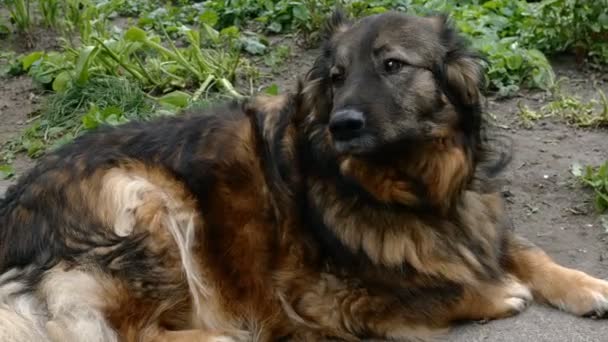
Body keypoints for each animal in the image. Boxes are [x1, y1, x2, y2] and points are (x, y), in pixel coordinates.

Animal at [1, 10, 608, 342]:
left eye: (392, 65)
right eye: (336, 77)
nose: (342, 124)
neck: (410, 188)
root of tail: (13, 209)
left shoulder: (475, 222)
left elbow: (529, 254)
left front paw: (587, 285)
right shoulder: (321, 295)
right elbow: (436, 289)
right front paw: (498, 293)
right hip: (144, 198)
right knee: (130, 330)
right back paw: (220, 334)